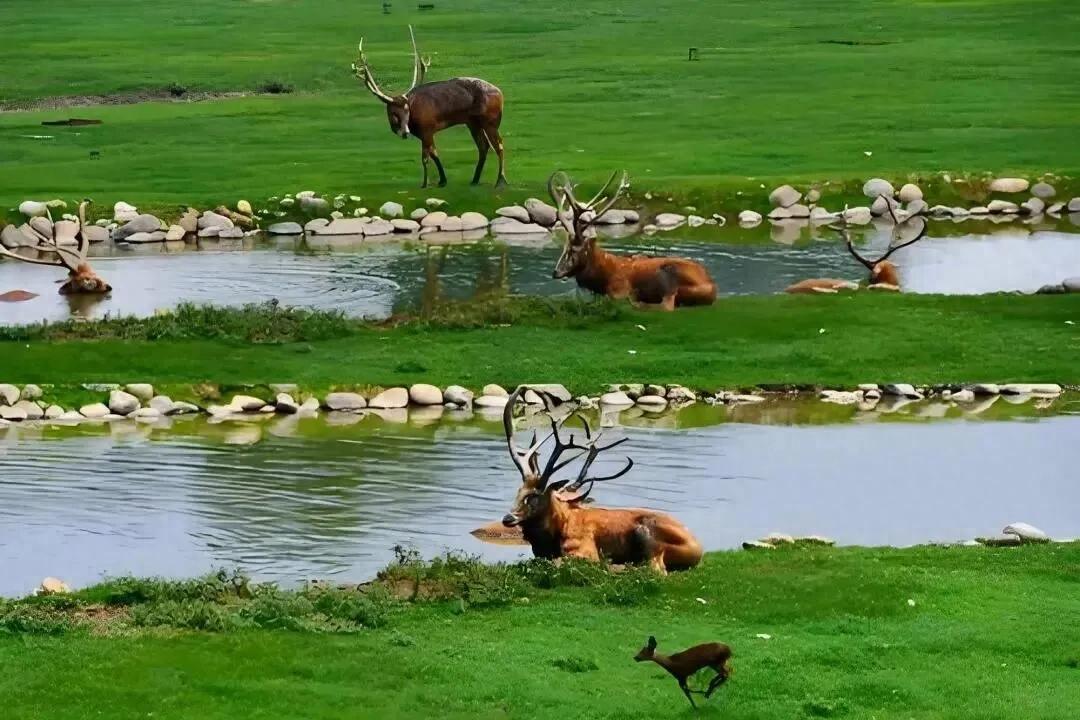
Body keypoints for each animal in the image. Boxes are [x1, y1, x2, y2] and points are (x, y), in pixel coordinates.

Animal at [352, 26, 507, 188]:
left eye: (406, 110)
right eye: (393, 112)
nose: (405, 132)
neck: (413, 122)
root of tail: (501, 94)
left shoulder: (427, 129)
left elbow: (425, 157)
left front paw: (425, 183)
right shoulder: (425, 133)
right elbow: (434, 154)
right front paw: (442, 180)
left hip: (491, 121)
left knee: (499, 145)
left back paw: (500, 180)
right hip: (473, 123)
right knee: (484, 146)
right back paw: (475, 179)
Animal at [499, 388, 703, 573]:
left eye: (535, 496)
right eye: (519, 492)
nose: (508, 518)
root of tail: (699, 548)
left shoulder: (585, 550)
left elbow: (560, 562)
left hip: (646, 535)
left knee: (656, 569)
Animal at [548, 171, 716, 310]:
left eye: (574, 249)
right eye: (564, 247)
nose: (556, 272)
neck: (600, 278)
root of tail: (713, 288)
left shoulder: (619, 289)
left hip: (670, 275)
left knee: (667, 305)